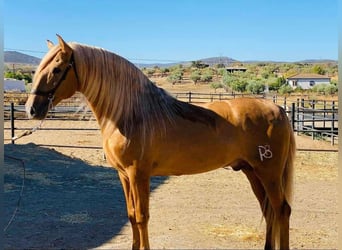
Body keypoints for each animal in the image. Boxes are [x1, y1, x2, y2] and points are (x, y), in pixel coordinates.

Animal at [25, 34, 296, 248]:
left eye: (57, 69)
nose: (31, 109)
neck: (131, 113)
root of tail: (278, 109)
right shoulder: (123, 175)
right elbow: (131, 215)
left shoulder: (138, 175)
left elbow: (142, 217)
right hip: (252, 172)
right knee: (269, 210)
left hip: (269, 173)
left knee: (282, 210)